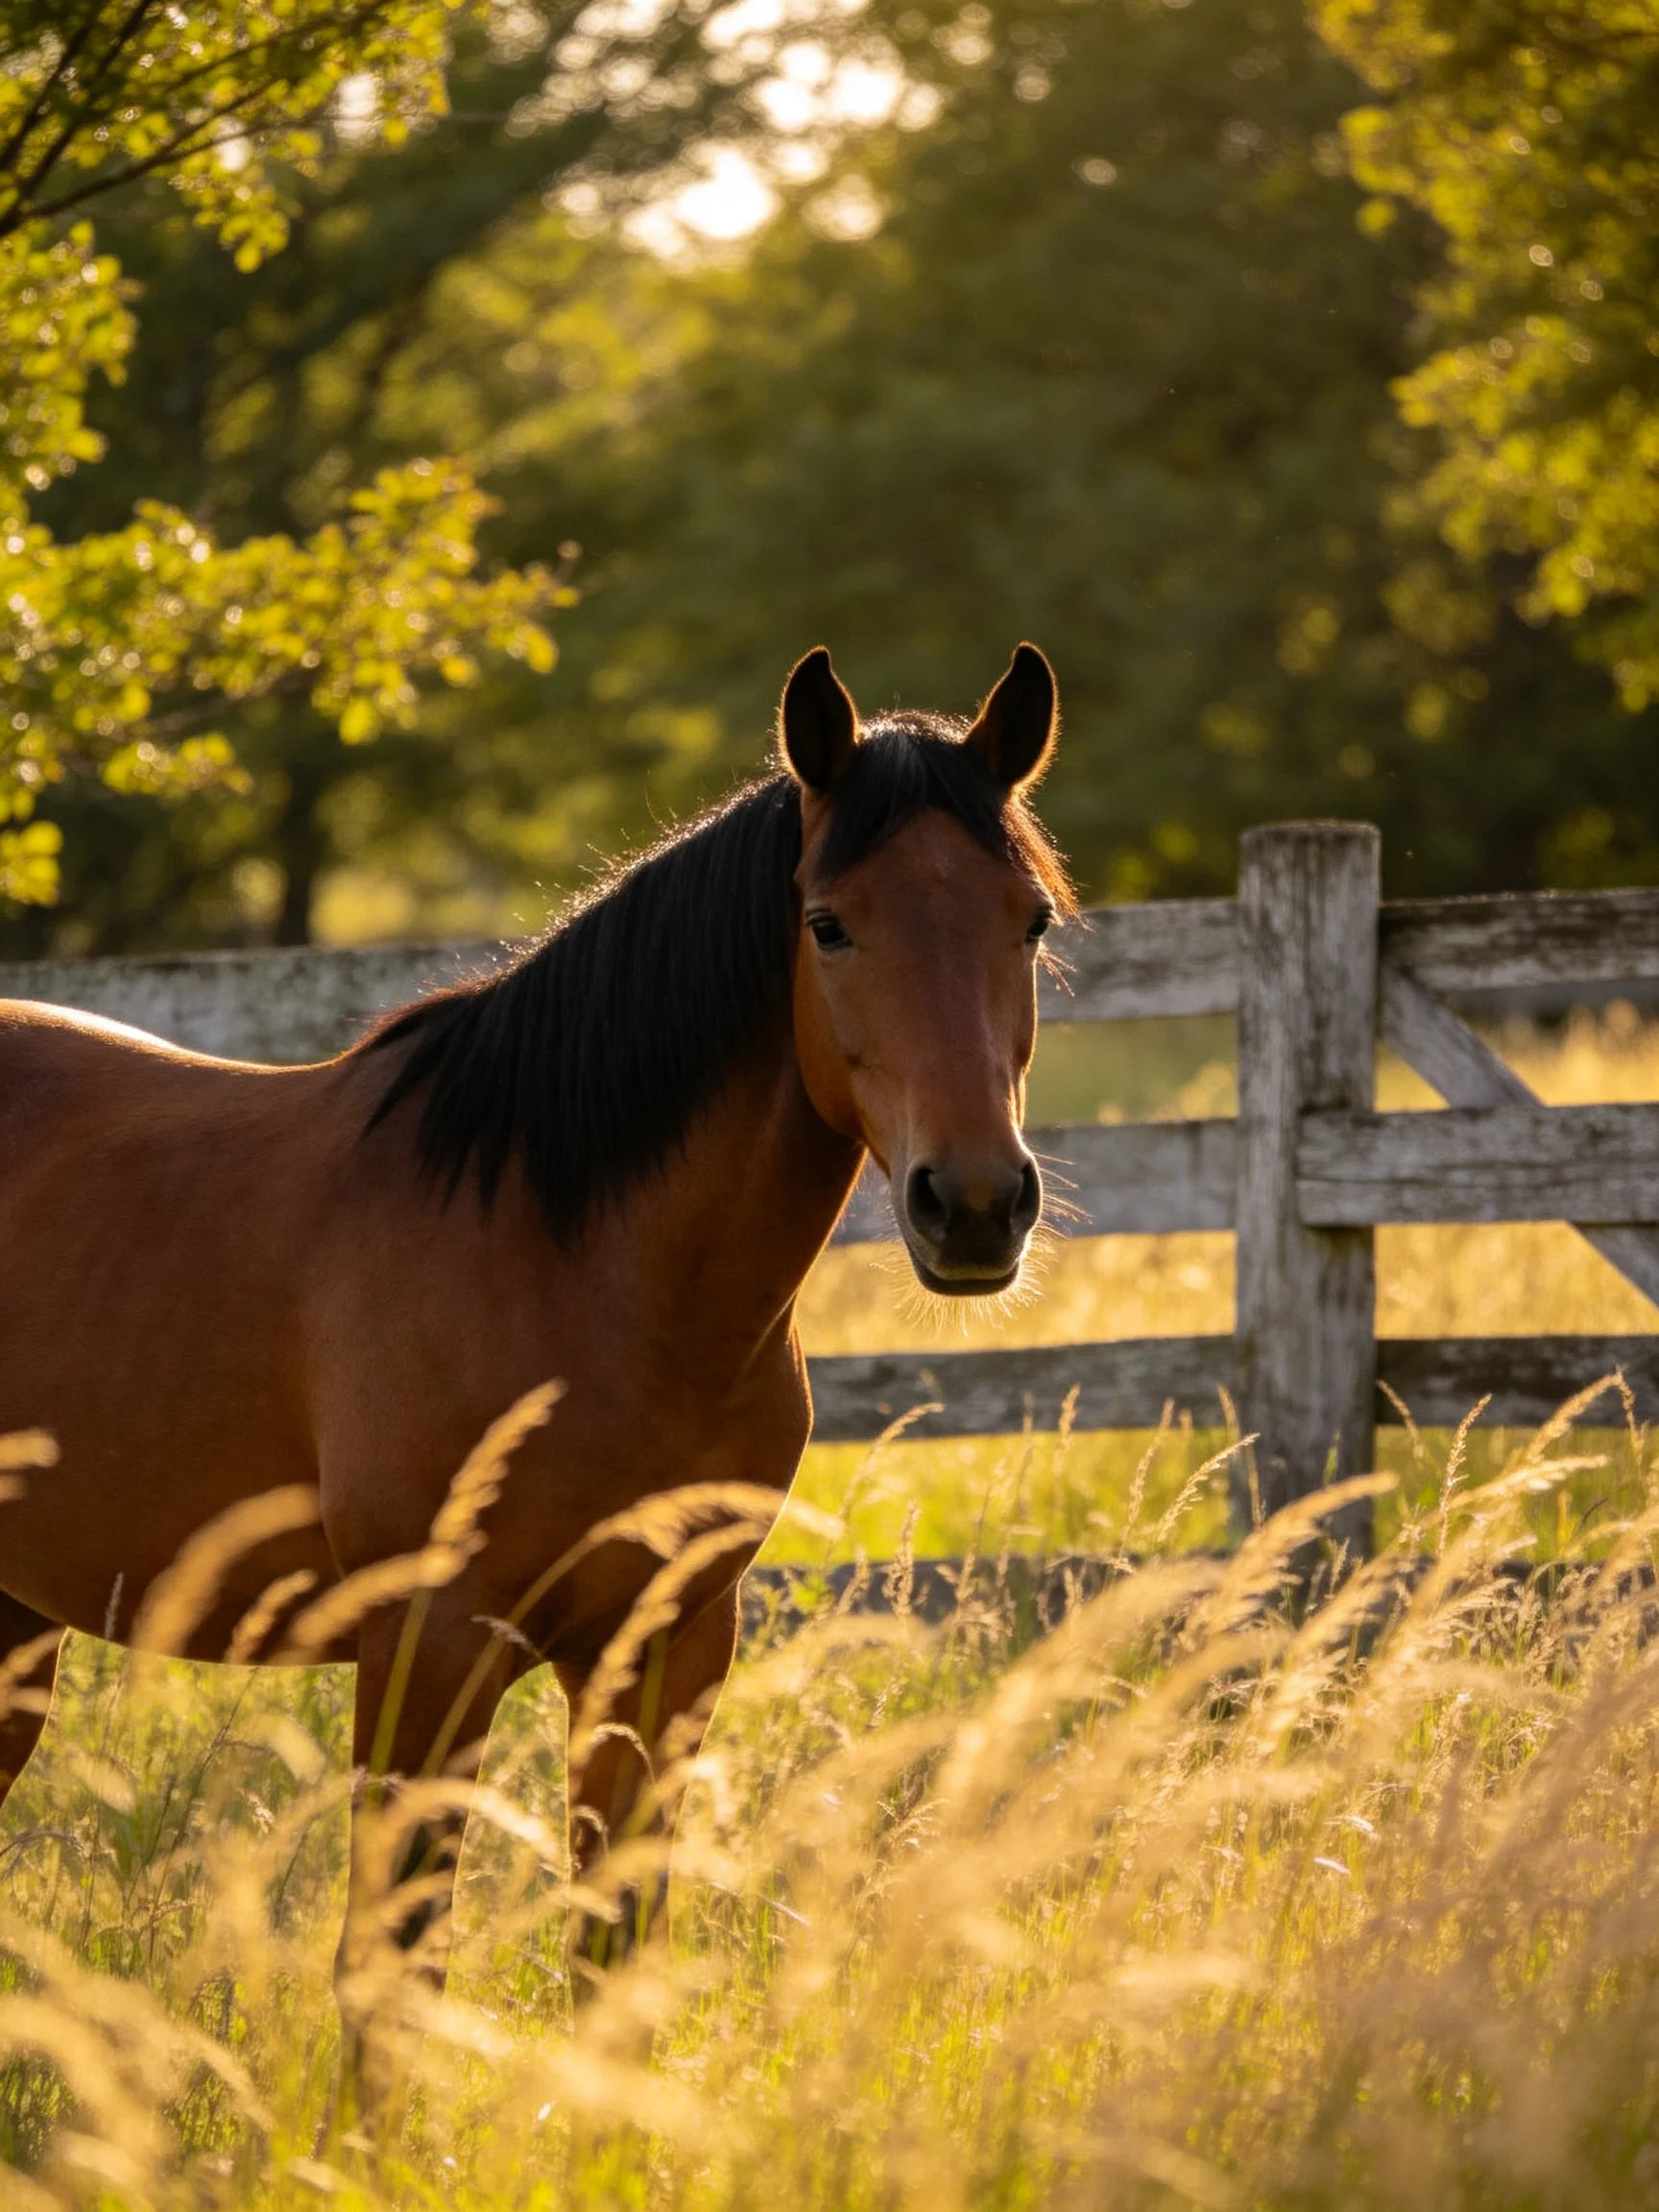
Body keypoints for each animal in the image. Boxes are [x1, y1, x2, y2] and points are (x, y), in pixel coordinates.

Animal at [0, 641, 1073, 2017]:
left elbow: (613, 1956)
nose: (977, 1205)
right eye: (829, 924)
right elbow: (390, 1969)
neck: (580, 1268)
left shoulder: (666, 1646)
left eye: (1031, 921)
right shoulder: (428, 1650)